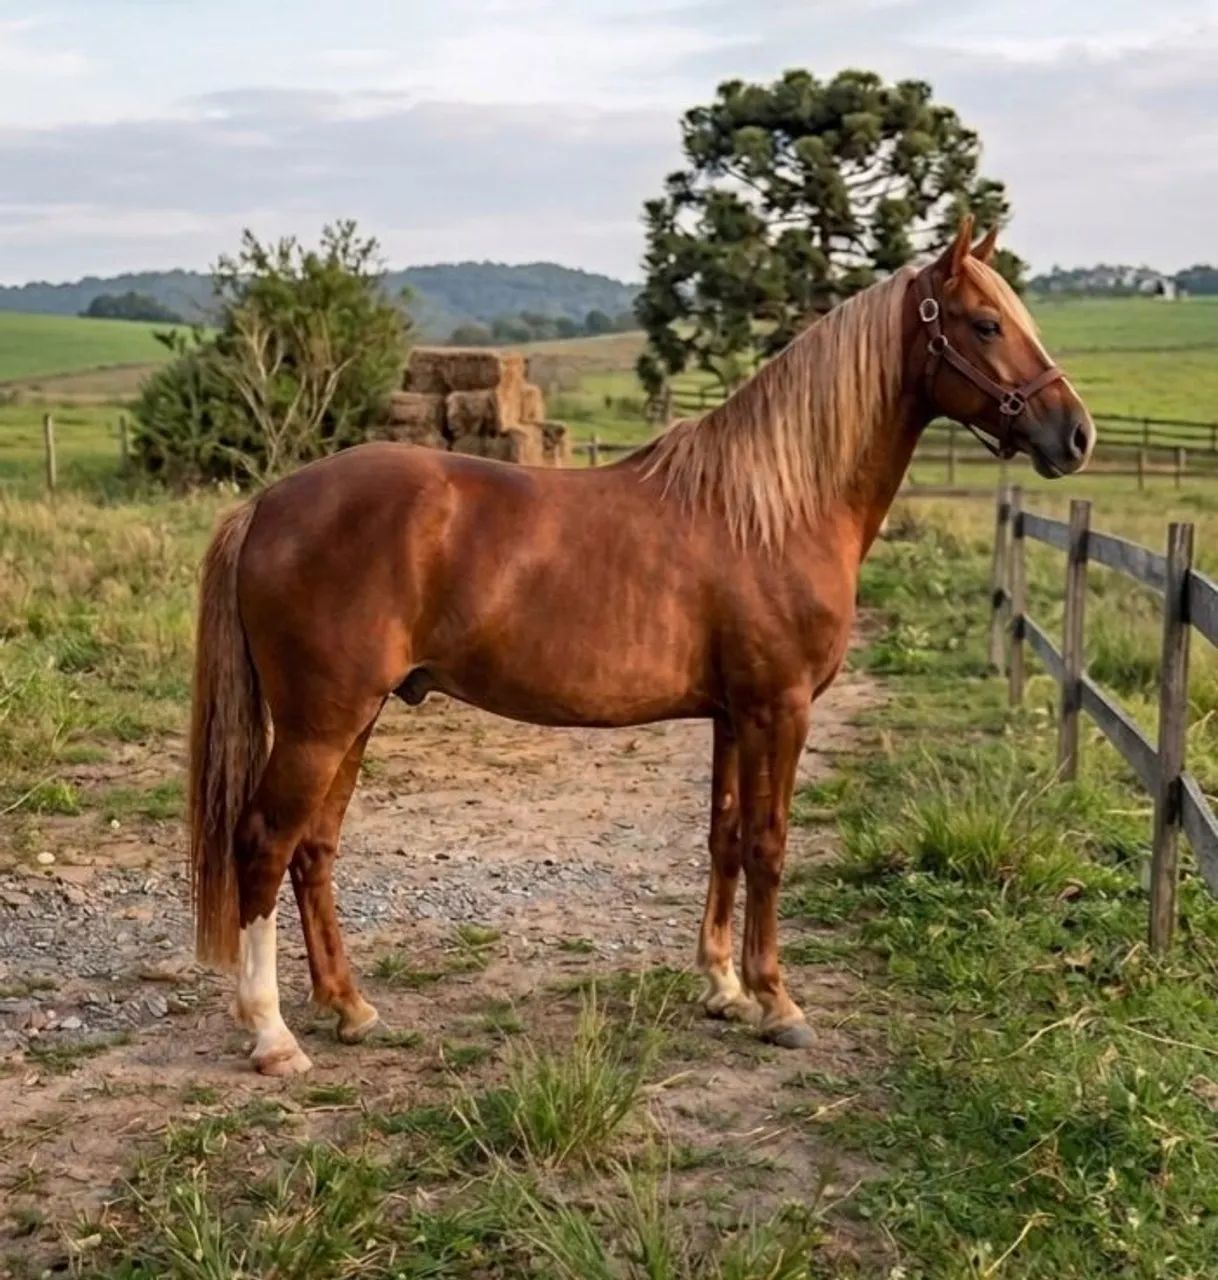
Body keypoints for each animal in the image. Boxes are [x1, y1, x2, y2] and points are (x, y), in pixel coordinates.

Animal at [188, 218, 1094, 1075]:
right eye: (984, 323)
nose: (1076, 434)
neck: (776, 508)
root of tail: (267, 505)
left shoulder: (733, 713)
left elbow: (725, 838)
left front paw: (724, 987)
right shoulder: (780, 709)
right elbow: (770, 844)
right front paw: (778, 1003)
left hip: (357, 717)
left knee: (313, 849)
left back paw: (350, 1008)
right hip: (321, 723)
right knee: (263, 844)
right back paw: (272, 1035)